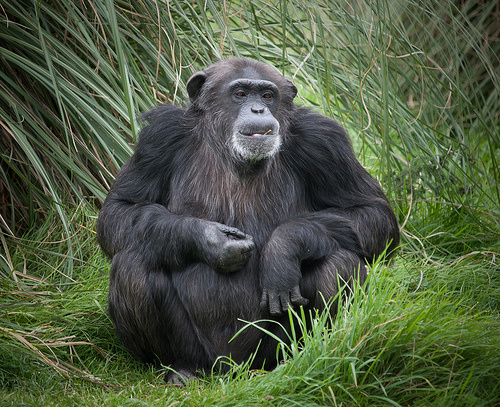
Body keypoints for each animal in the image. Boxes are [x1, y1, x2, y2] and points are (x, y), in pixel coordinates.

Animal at [96, 58, 398, 386]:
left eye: (267, 95)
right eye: (240, 94)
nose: (258, 110)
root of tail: (231, 369)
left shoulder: (325, 141)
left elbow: (371, 214)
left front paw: (281, 251)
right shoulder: (160, 136)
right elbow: (119, 211)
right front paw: (212, 240)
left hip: (267, 351)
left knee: (338, 264)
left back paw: (292, 365)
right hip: (202, 352)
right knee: (133, 265)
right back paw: (182, 368)